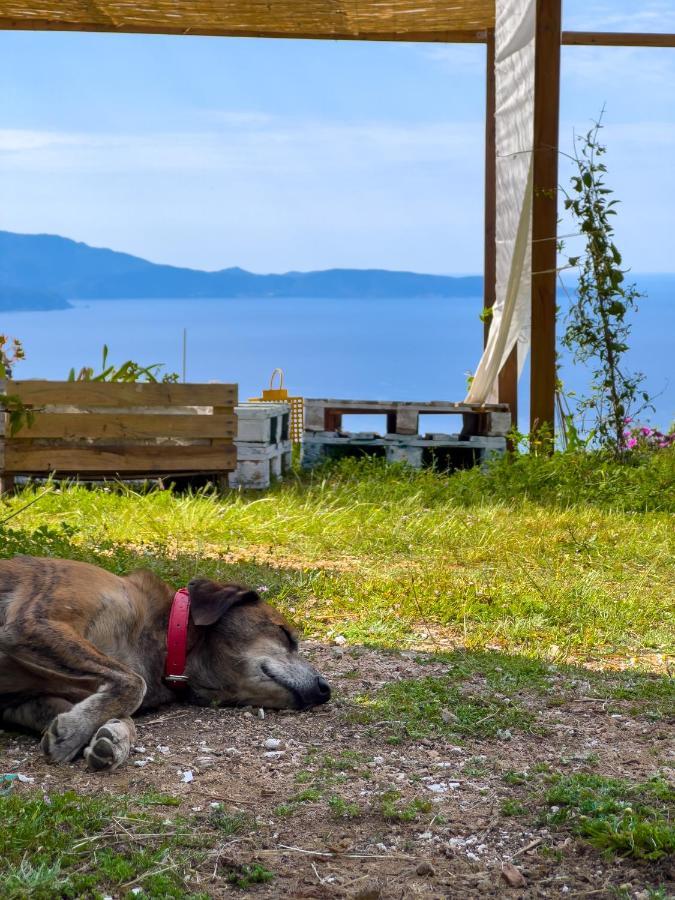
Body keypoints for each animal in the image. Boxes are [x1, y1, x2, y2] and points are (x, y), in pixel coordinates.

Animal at [0, 556, 330, 768]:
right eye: (284, 633)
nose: (326, 689)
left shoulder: (22, 703)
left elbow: (120, 709)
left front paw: (113, 737)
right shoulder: (34, 622)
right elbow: (134, 683)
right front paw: (75, 733)